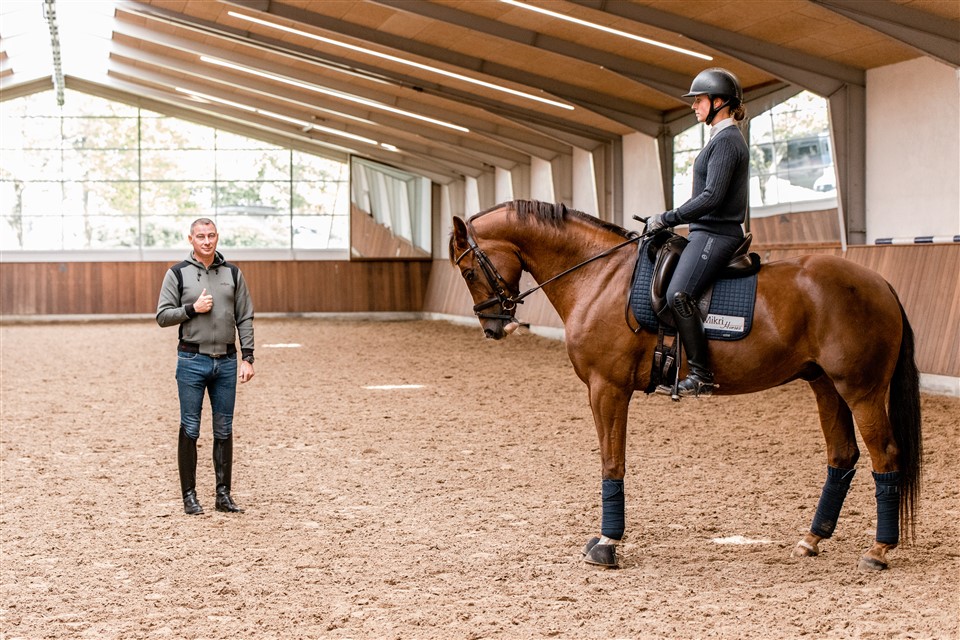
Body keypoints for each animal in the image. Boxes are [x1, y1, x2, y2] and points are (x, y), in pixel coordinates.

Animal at [450, 199, 924, 568]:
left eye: (470, 271)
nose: (493, 327)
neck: (599, 276)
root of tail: (880, 283)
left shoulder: (607, 388)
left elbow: (611, 462)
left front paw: (606, 544)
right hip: (825, 385)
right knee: (842, 456)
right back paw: (811, 541)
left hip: (861, 391)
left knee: (885, 456)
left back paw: (878, 550)